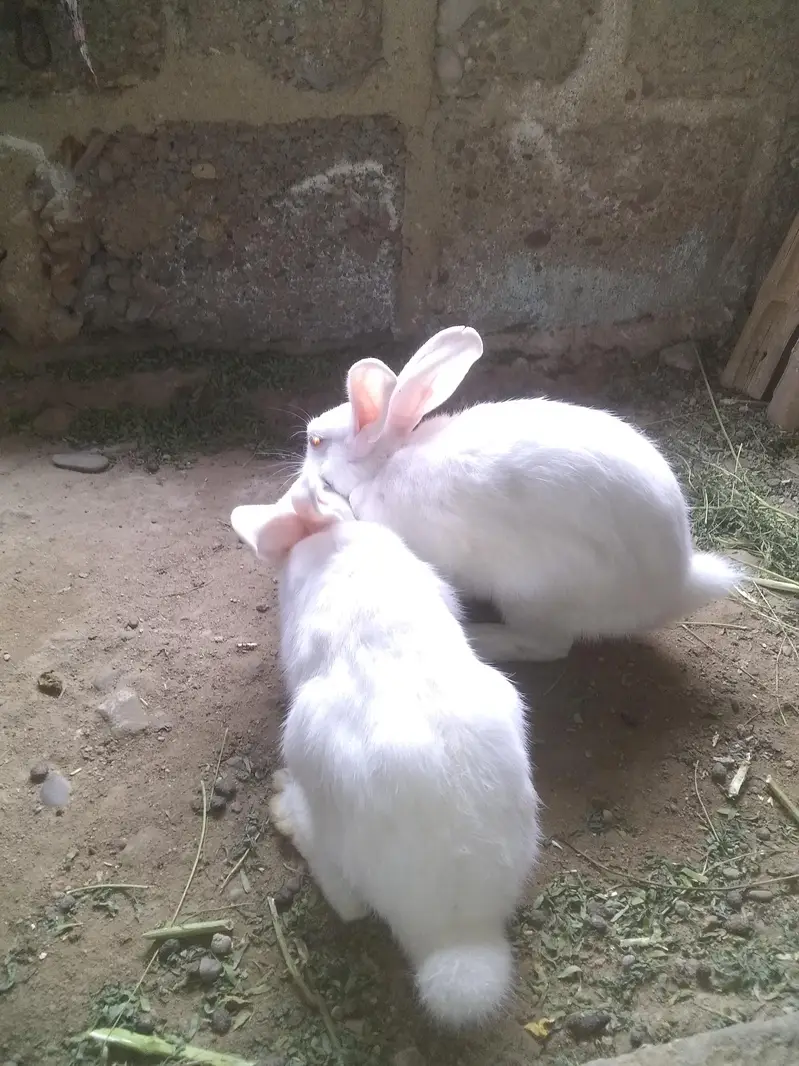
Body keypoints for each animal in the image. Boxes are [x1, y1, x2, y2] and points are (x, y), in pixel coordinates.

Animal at [230, 476, 540, 1029]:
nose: (329, 483)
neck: (331, 537)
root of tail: (457, 934)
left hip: (308, 751)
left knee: (346, 900)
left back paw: (285, 806)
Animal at [293, 325, 740, 663]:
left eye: (315, 442)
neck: (383, 463)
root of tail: (677, 583)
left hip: (532, 592)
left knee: (549, 646)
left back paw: (481, 637)